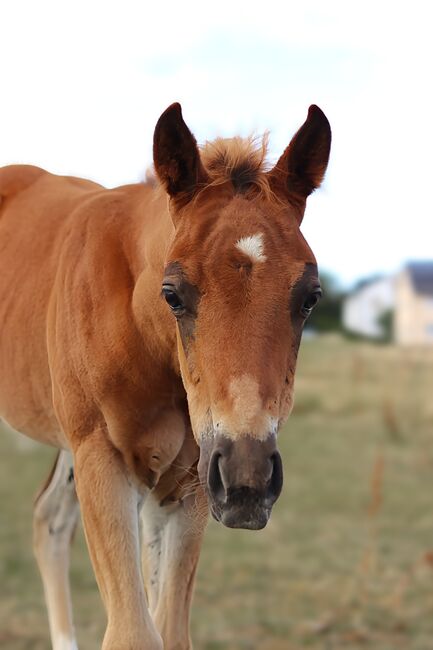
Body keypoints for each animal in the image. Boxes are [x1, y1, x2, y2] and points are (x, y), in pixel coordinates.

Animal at [0, 102, 330, 648]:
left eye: (311, 296)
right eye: (173, 293)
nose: (248, 477)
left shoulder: (191, 480)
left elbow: (169, 628)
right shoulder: (103, 458)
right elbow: (133, 631)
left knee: (49, 519)